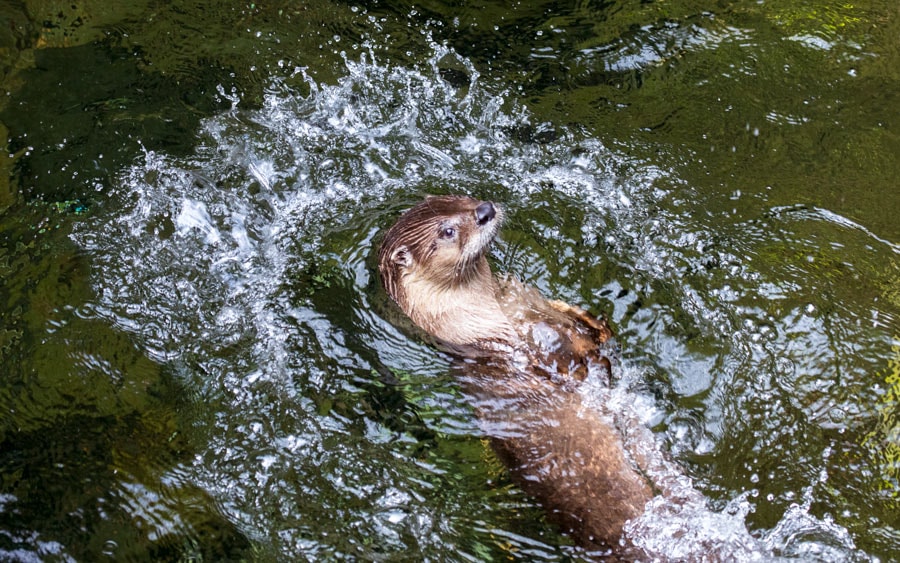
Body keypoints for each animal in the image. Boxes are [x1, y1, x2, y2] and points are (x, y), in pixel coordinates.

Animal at [378, 195, 652, 556]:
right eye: (447, 231)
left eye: (464, 197)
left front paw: (594, 325)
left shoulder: (525, 296)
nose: (485, 210)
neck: (486, 313)